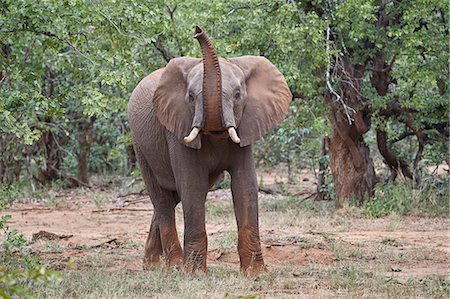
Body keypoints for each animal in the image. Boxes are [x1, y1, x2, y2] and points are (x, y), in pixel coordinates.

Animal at [128, 26, 292, 276]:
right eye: (191, 97)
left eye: (238, 95)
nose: (197, 31)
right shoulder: (177, 128)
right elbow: (192, 186)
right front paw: (194, 274)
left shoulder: (246, 125)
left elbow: (245, 184)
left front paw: (255, 274)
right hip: (140, 144)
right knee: (162, 199)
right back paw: (172, 267)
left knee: (172, 199)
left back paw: (152, 266)